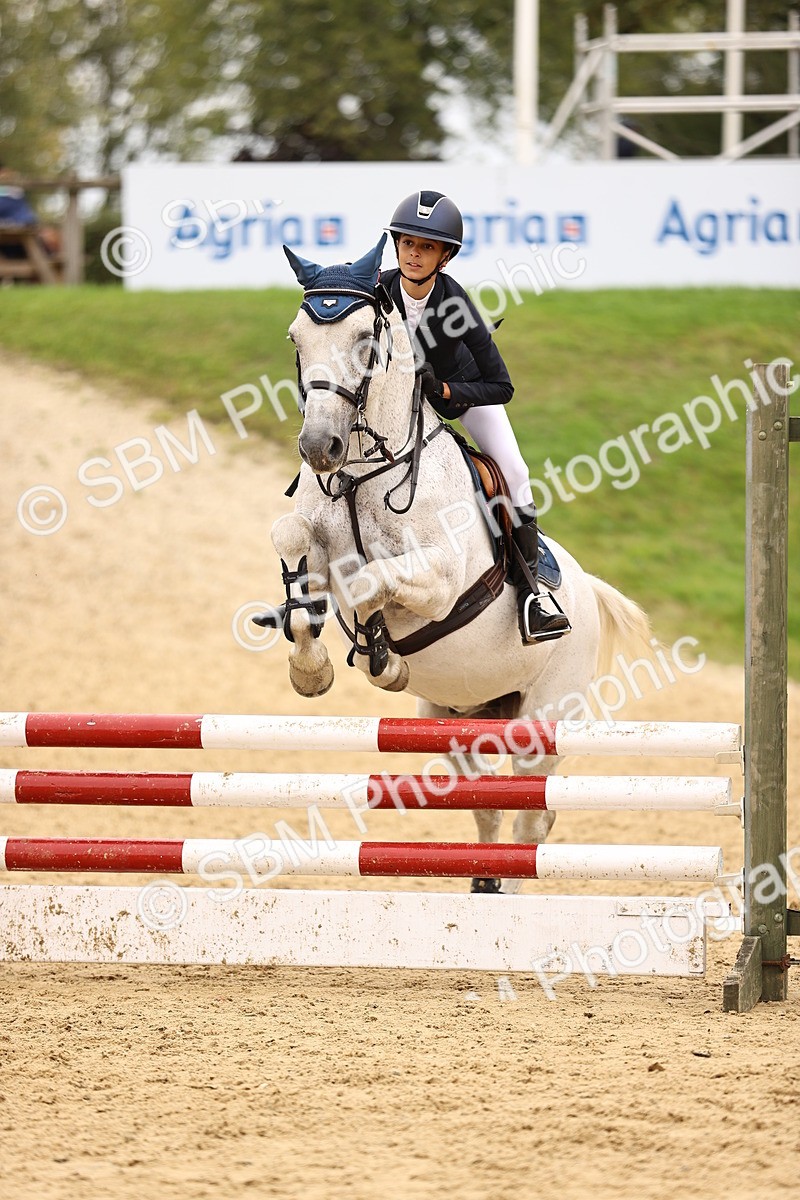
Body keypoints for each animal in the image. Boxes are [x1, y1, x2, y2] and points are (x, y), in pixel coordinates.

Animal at [263, 235, 651, 893]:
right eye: (296, 338)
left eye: (365, 339)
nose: (318, 448)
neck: (363, 473)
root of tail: (586, 589)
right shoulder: (314, 537)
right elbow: (294, 544)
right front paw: (311, 668)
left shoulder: (441, 580)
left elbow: (371, 582)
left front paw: (381, 656)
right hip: (457, 717)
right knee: (486, 805)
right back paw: (483, 886)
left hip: (542, 720)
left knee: (532, 819)